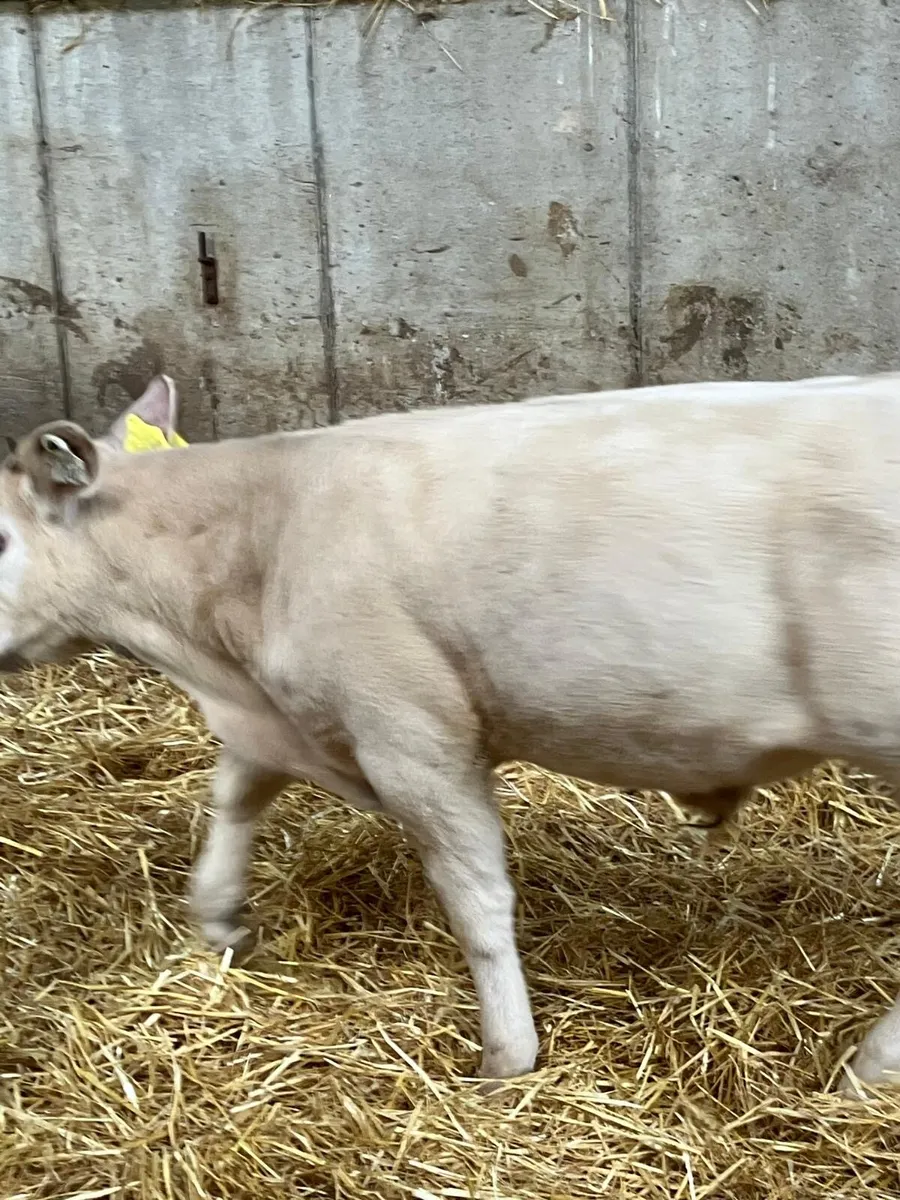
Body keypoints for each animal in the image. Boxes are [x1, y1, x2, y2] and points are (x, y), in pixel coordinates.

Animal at [2, 370, 900, 1095]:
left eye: (3, 537)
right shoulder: (288, 716)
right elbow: (236, 792)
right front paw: (219, 918)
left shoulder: (409, 730)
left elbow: (476, 899)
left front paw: (506, 1057)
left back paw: (870, 1071)